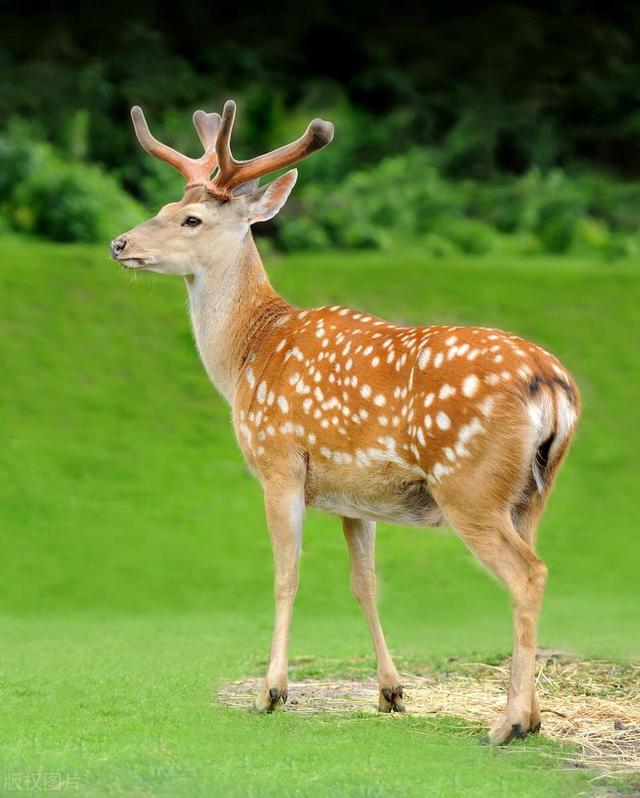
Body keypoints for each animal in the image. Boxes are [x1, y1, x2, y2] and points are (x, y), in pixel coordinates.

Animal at [110, 101, 580, 752]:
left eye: (192, 219)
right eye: (162, 206)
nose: (119, 242)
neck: (249, 355)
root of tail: (551, 385)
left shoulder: (279, 459)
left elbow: (286, 574)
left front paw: (271, 692)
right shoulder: (356, 495)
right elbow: (365, 582)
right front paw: (390, 692)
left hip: (470, 484)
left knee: (528, 574)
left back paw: (507, 723)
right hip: (532, 491)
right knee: (532, 567)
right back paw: (531, 718)